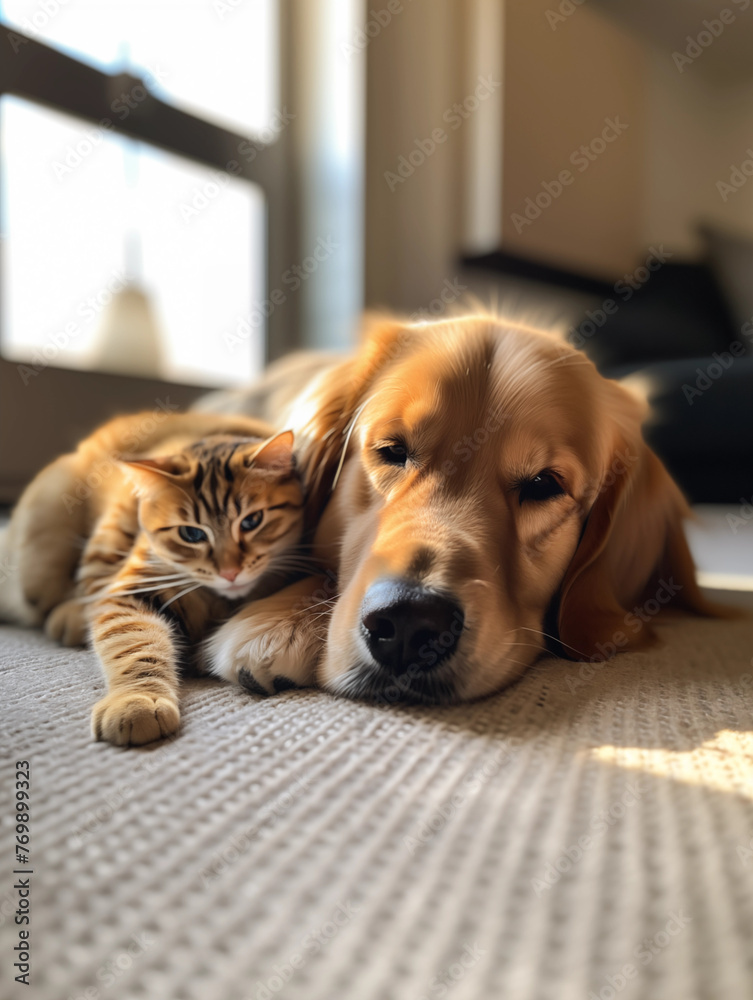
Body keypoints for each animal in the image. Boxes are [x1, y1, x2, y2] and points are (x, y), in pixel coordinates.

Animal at [1, 410, 306, 748]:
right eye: (192, 534)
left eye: (252, 521)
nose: (230, 573)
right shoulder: (134, 588)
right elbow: (133, 642)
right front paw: (137, 700)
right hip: (64, 551)